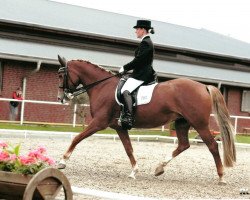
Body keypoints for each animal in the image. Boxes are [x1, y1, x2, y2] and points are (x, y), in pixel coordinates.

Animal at [57, 55, 236, 185]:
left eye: (60, 75)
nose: (60, 98)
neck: (102, 87)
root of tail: (204, 87)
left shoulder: (99, 123)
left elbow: (77, 138)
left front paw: (62, 161)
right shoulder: (120, 127)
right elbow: (128, 149)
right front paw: (134, 171)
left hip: (200, 124)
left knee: (212, 146)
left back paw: (221, 177)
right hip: (182, 123)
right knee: (183, 145)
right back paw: (159, 168)